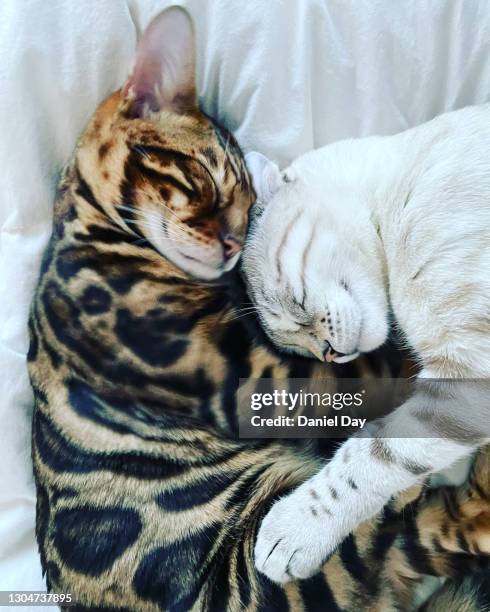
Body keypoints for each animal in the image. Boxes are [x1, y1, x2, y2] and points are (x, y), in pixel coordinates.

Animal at [243, 104, 490, 584]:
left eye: (296, 306)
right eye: (302, 350)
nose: (331, 354)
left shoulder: (468, 367)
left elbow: (370, 457)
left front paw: (292, 531)